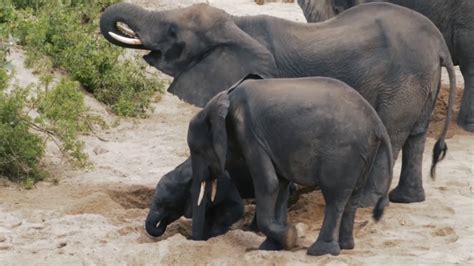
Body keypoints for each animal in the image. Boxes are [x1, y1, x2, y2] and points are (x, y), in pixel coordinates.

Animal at [187, 75, 394, 256]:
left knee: (334, 196)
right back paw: (345, 247)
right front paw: (272, 246)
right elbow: (281, 186)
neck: (225, 99)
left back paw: (320, 252)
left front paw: (290, 237)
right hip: (364, 153)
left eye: (197, 151)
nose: (198, 241)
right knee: (352, 196)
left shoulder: (249, 133)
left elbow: (268, 183)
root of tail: (377, 123)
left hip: (342, 153)